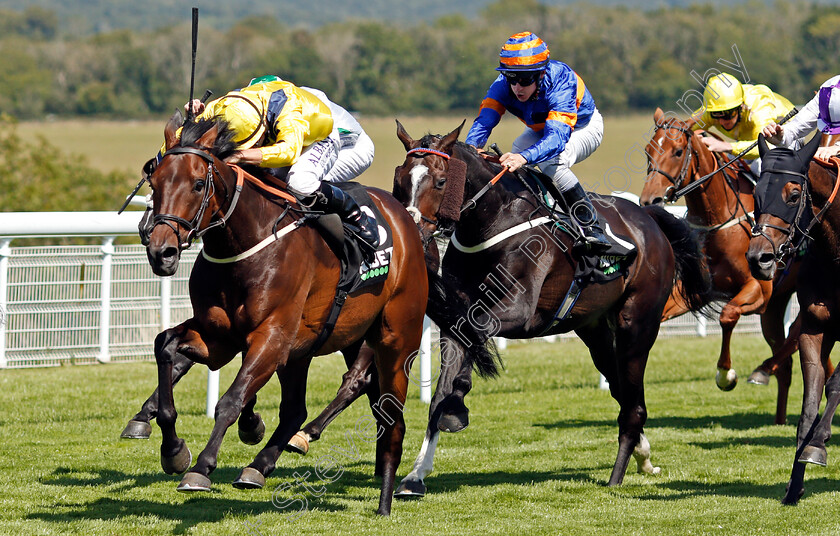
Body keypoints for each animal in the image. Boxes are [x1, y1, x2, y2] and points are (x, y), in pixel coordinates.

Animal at [124, 112, 426, 516]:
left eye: (199, 184)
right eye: (154, 180)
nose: (161, 251)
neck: (245, 244)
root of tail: (406, 219)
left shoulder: (272, 336)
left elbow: (230, 400)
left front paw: (201, 468)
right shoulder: (217, 336)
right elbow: (165, 345)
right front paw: (173, 449)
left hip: (395, 339)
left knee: (389, 415)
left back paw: (385, 501)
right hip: (308, 347)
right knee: (297, 410)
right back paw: (260, 465)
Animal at [388, 121, 716, 498]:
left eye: (441, 181)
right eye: (400, 179)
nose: (412, 234)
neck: (493, 220)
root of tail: (647, 218)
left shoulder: (521, 313)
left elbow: (476, 334)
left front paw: (457, 405)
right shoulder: (457, 314)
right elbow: (443, 385)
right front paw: (416, 475)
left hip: (637, 326)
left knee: (633, 404)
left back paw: (616, 476)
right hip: (593, 330)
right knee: (622, 391)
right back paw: (643, 454)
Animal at [640, 107, 804, 422]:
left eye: (678, 151)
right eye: (648, 151)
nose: (649, 200)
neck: (719, 218)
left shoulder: (759, 290)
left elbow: (728, 315)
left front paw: (725, 375)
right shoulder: (701, 289)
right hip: (774, 310)